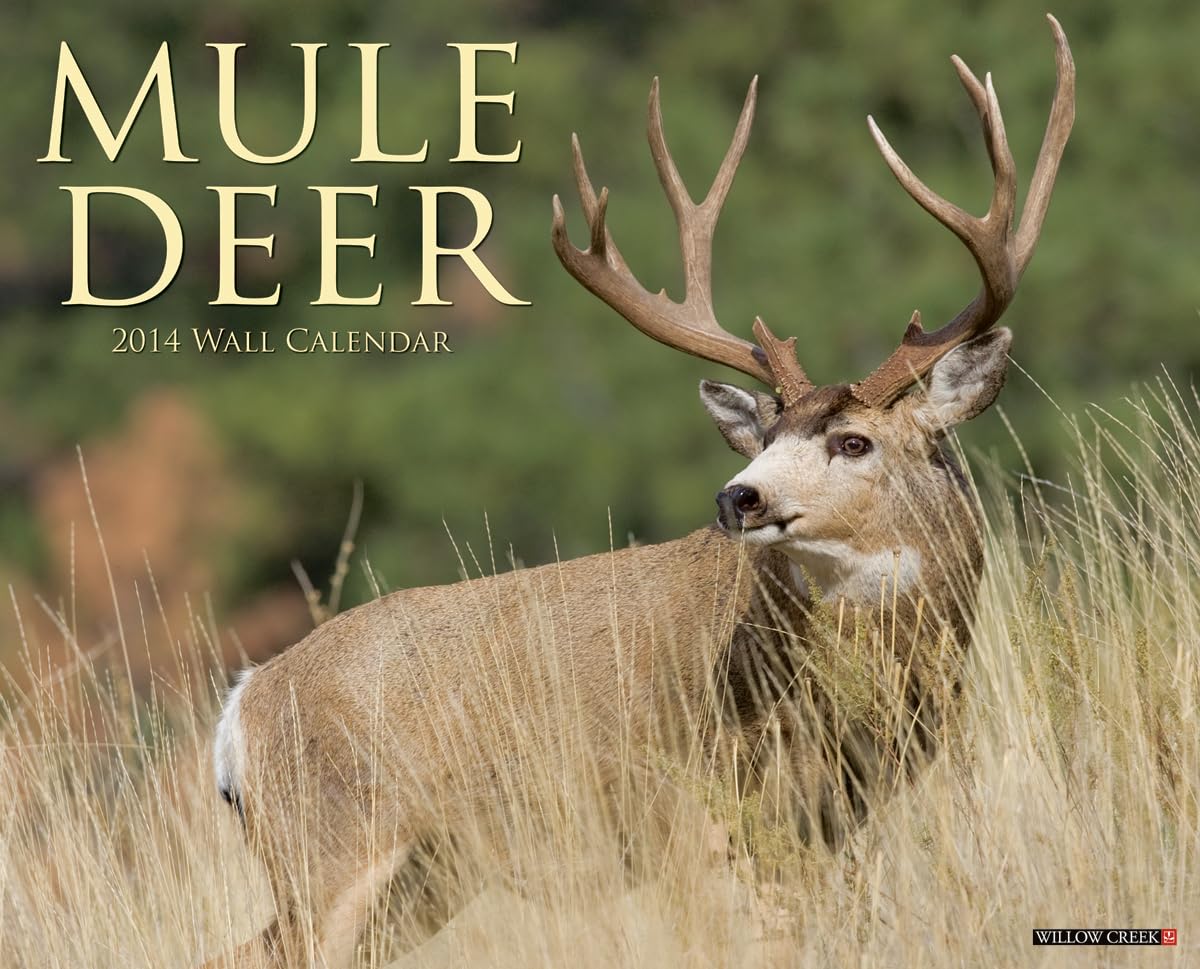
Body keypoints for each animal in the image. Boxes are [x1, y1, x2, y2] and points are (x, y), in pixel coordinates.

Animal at [203, 16, 1073, 968]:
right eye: (768, 436)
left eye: (853, 440)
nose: (739, 497)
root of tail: (243, 706)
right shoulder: (692, 822)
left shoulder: (828, 826)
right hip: (332, 847)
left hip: (423, 877)